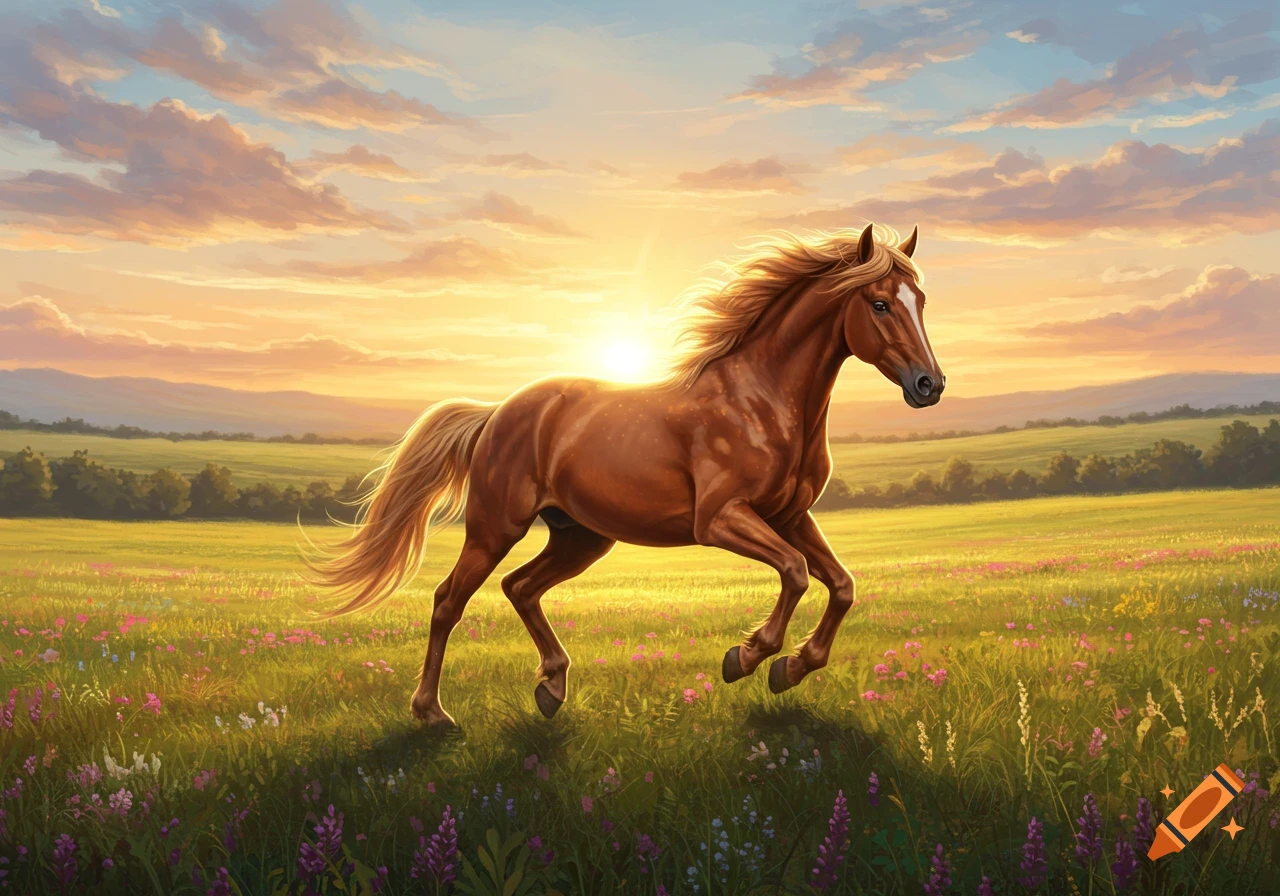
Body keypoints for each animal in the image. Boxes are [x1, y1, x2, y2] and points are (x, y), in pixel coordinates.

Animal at [310, 222, 945, 728]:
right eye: (880, 304)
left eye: (921, 301)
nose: (929, 385)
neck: (760, 400)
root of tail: (498, 413)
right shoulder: (721, 520)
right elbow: (795, 573)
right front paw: (746, 658)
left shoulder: (790, 516)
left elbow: (841, 584)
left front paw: (790, 668)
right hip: (496, 527)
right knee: (449, 600)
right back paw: (433, 713)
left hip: (582, 537)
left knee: (520, 587)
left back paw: (552, 686)